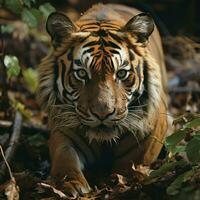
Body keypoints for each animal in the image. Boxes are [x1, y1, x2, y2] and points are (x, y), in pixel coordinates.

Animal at [37, 3, 169, 197]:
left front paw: (120, 183)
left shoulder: (152, 131)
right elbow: (65, 156)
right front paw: (69, 183)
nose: (102, 113)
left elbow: (133, 162)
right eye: (81, 73)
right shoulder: (63, 130)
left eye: (121, 73)